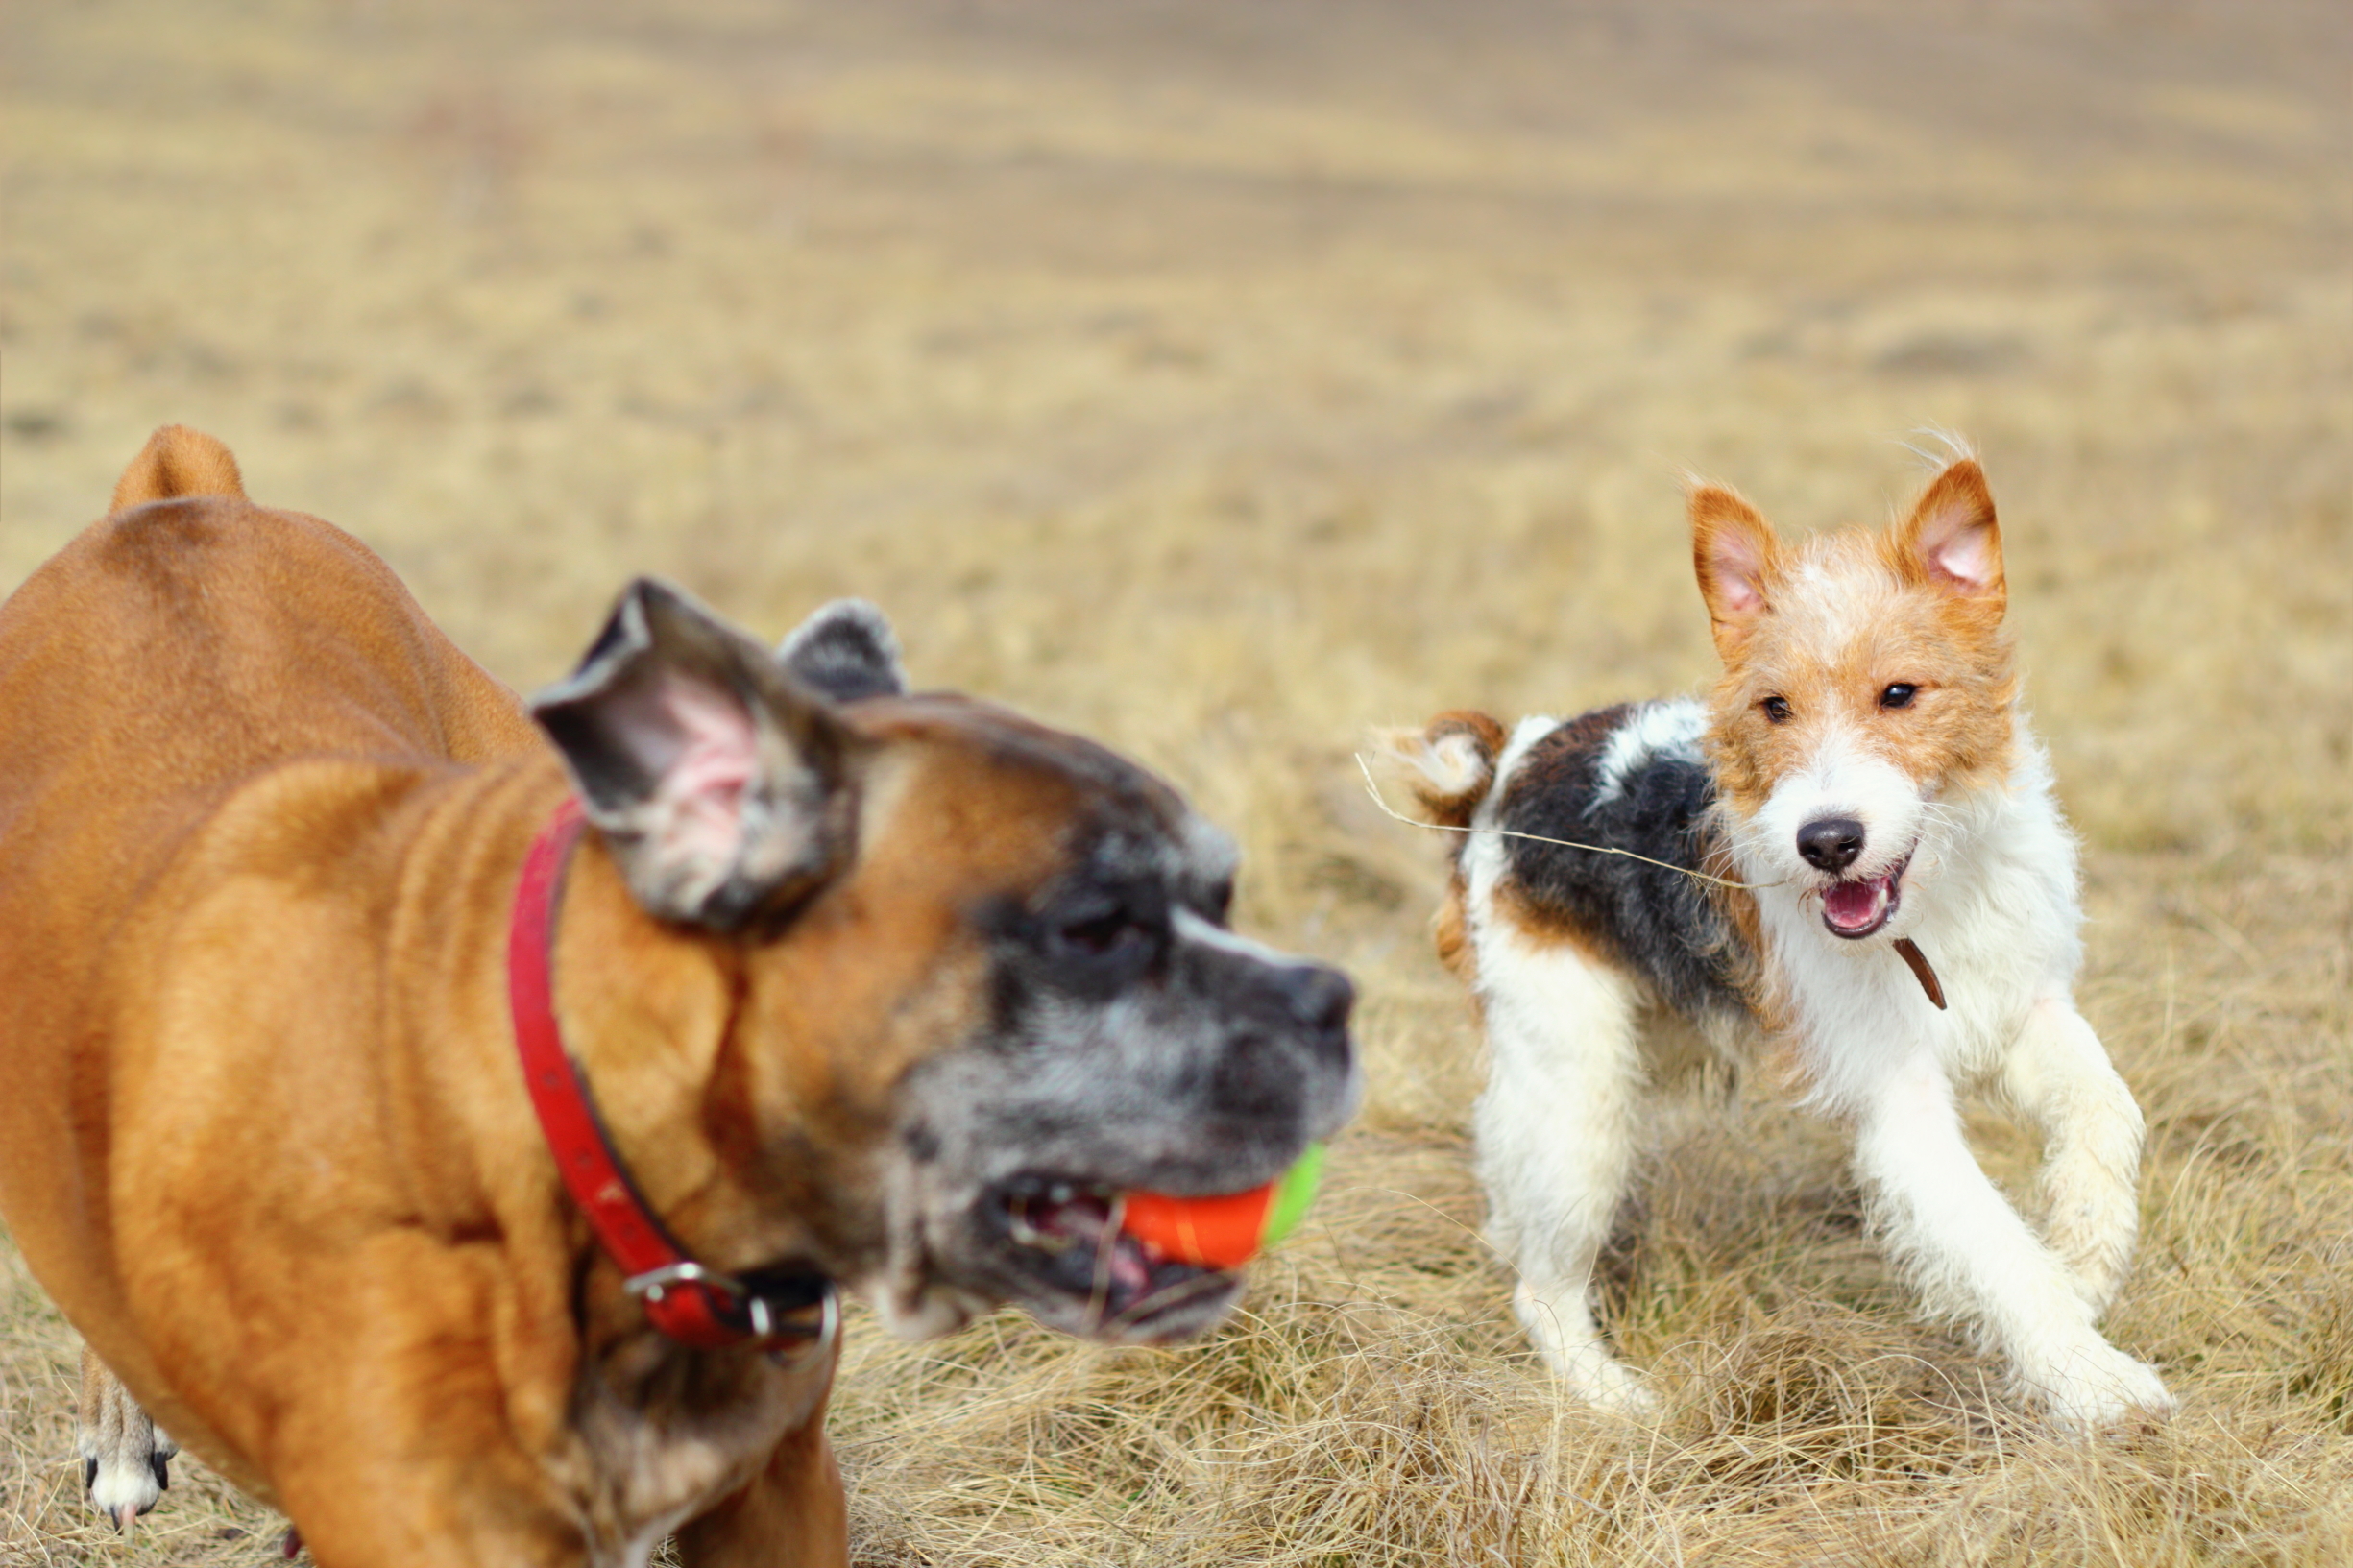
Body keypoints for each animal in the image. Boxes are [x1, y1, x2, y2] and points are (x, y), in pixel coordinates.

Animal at [1373, 451, 2165, 1438]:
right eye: (1774, 706)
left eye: (1899, 692)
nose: (1827, 842)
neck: (1930, 899)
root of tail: (1505, 768)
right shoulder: (1900, 1102)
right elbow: (1996, 1247)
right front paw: (2099, 1382)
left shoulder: (2027, 1006)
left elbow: (2107, 1111)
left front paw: (2087, 1262)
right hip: (1580, 1095)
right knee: (1541, 1286)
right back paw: (1612, 1395)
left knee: (1503, 1176)